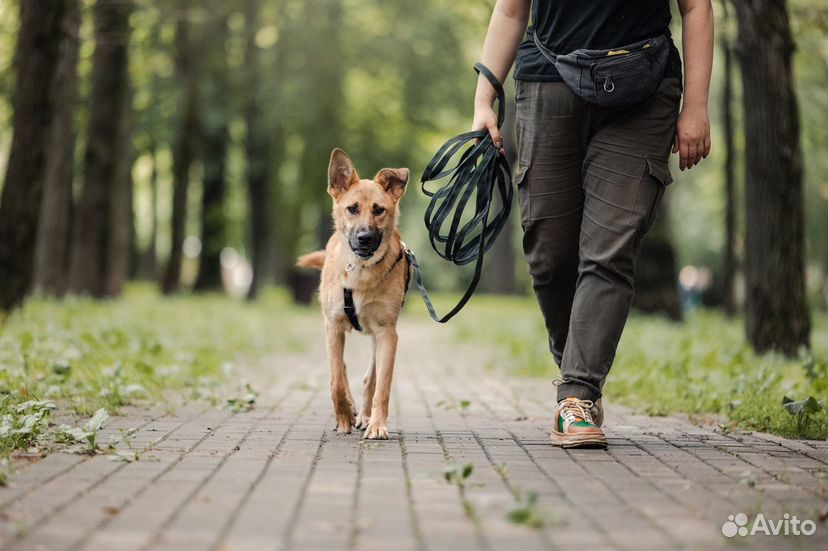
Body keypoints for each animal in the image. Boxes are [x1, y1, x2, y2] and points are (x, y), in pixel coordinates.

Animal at [300, 149, 412, 442]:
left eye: (379, 210)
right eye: (352, 208)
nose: (365, 238)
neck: (361, 271)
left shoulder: (387, 333)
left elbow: (381, 385)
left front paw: (377, 424)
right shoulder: (333, 326)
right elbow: (336, 380)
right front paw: (343, 417)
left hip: (376, 337)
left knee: (369, 378)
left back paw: (364, 416)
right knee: (341, 369)